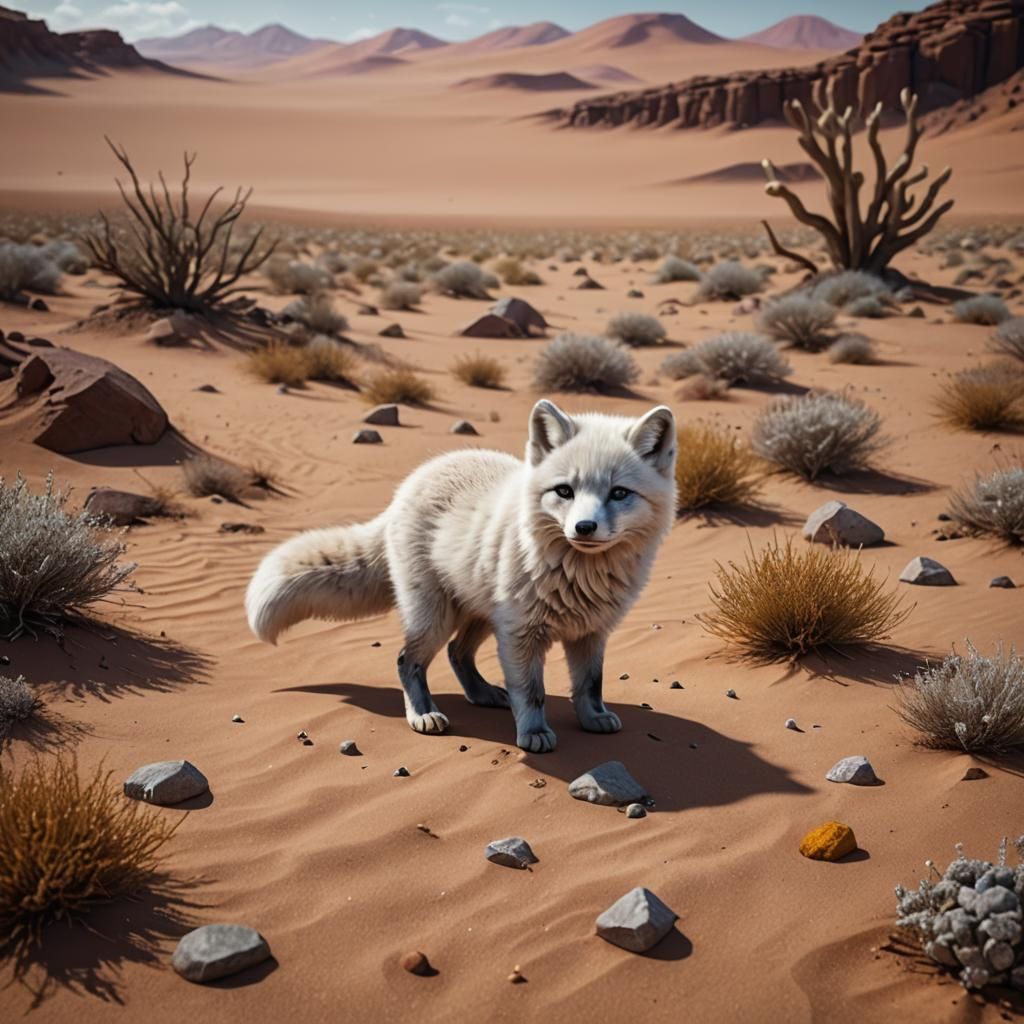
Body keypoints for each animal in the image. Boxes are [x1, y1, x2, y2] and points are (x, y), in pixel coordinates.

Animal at [245, 399, 677, 752]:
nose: (584, 528)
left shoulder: (591, 632)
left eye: (619, 493)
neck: (579, 574)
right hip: (437, 617)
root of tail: (409, 484)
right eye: (564, 491)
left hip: (481, 615)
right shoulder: (521, 634)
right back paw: (422, 714)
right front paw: (534, 733)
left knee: (457, 653)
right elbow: (531, 693)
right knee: (407, 659)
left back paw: (482, 694)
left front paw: (592, 719)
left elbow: (590, 685)